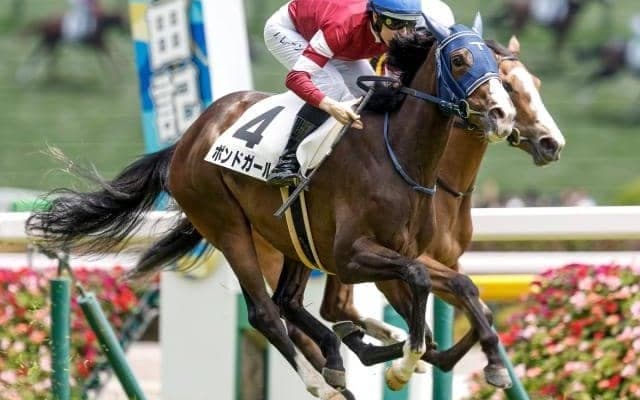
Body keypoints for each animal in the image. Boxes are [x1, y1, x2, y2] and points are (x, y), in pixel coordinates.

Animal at [26, 16, 516, 399]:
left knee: (288, 302)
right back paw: (322, 378)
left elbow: (458, 289)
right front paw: (403, 360)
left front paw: (487, 360)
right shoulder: (351, 256)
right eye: (460, 60)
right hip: (228, 227)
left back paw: (340, 354)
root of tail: (188, 137)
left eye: (498, 67)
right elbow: (419, 284)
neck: (398, 154)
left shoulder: (404, 251)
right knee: (265, 311)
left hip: (295, 238)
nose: (503, 115)